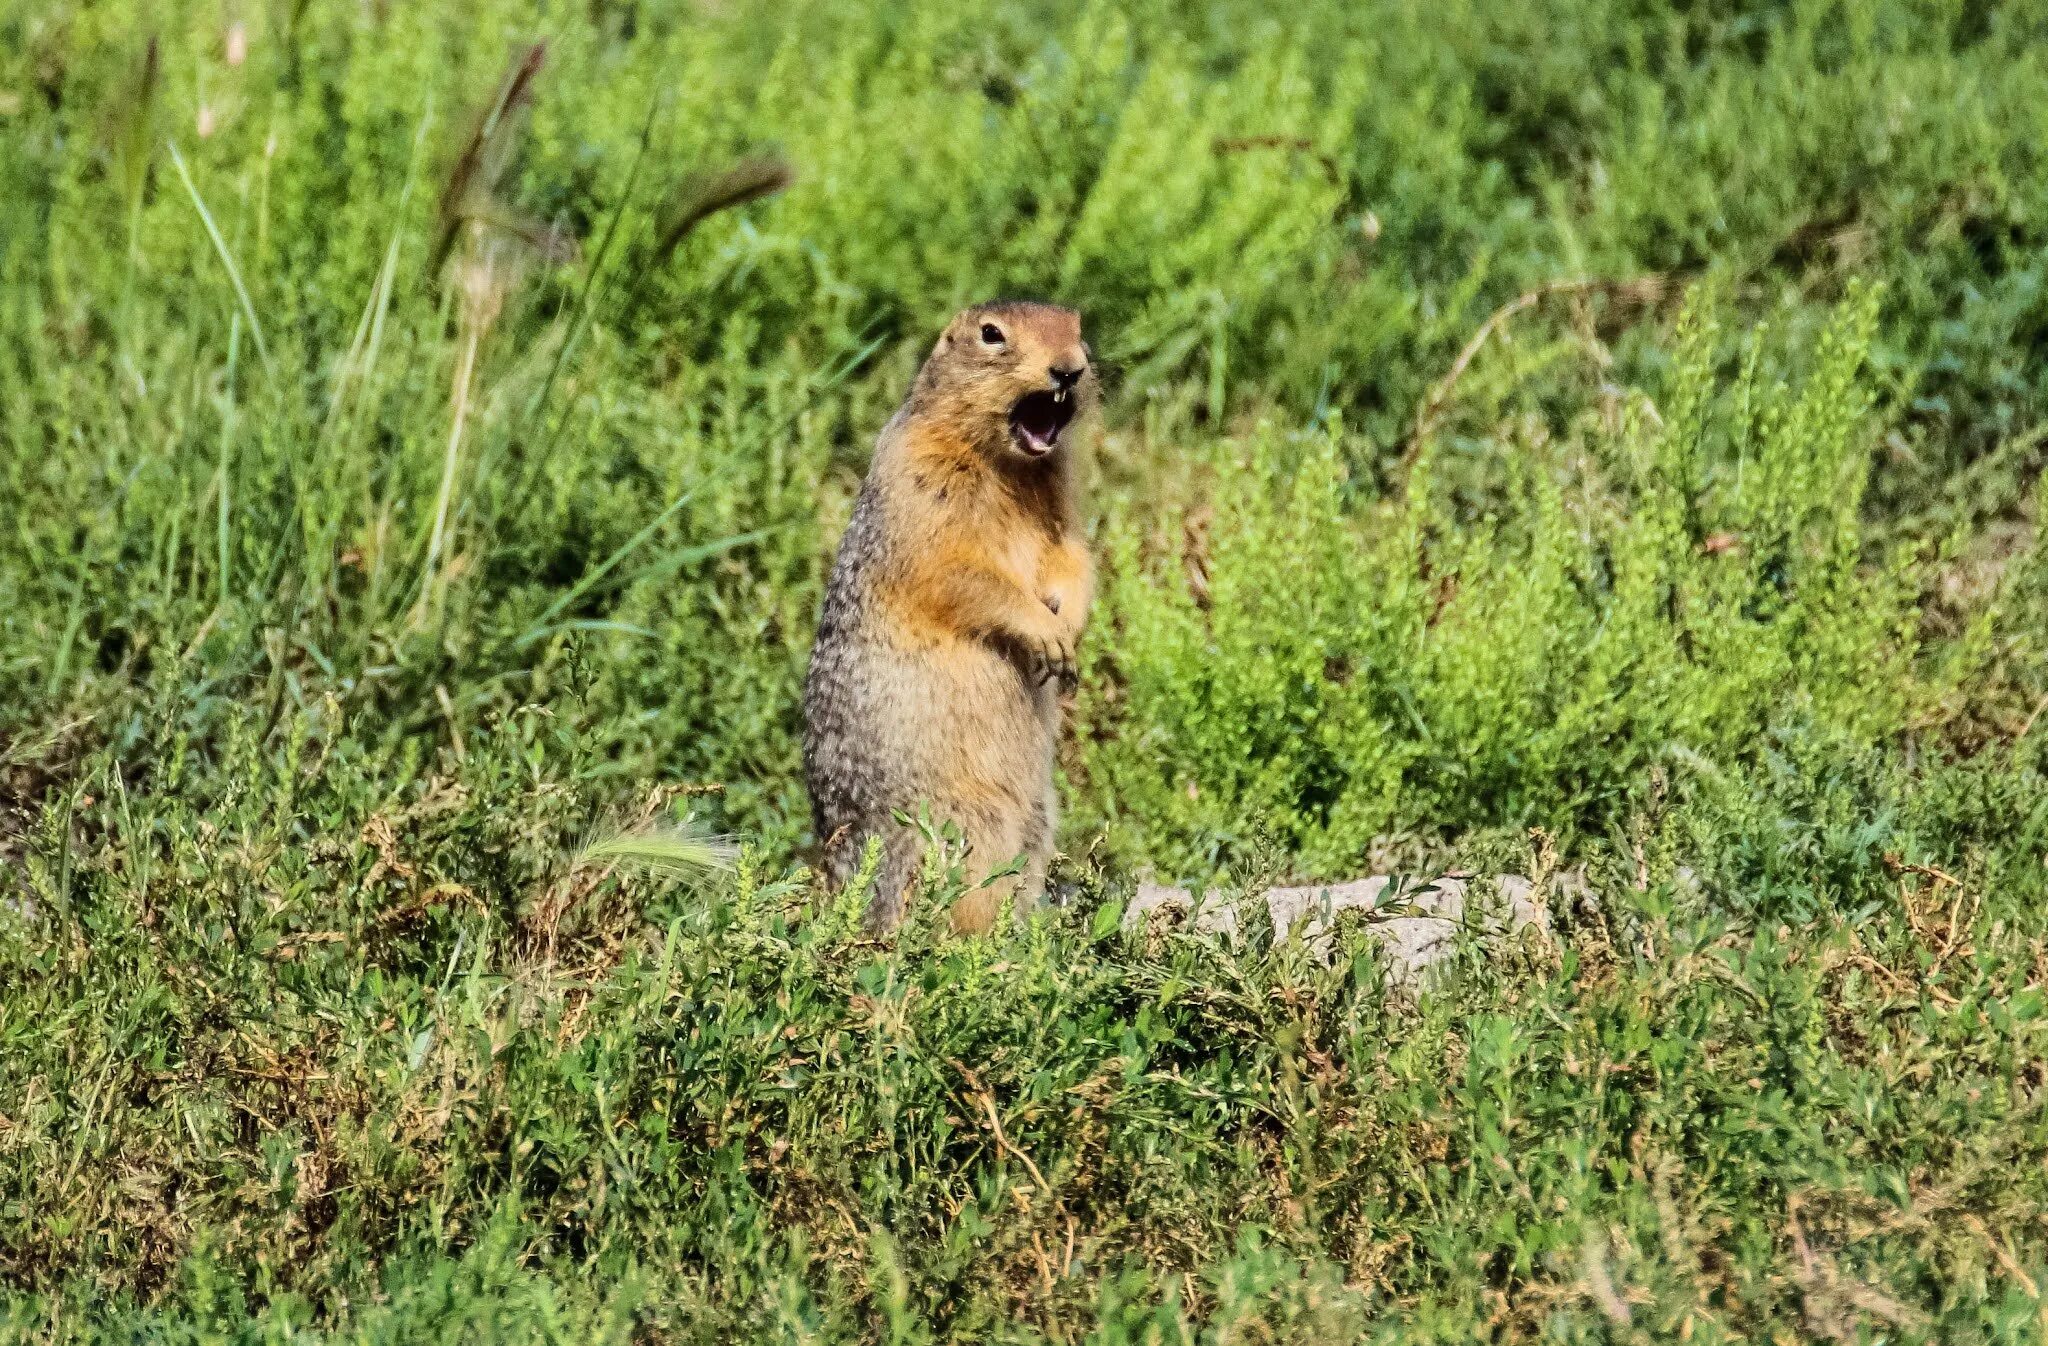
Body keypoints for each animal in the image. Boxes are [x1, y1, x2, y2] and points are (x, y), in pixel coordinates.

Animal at [798, 297, 1097, 930]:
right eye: (991, 334)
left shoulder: (1062, 503)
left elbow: (1073, 557)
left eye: (1078, 328)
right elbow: (963, 574)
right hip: (966, 823)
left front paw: (1069, 628)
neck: (1010, 466)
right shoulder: (924, 486)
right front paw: (1046, 634)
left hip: (1037, 820)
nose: (1069, 369)